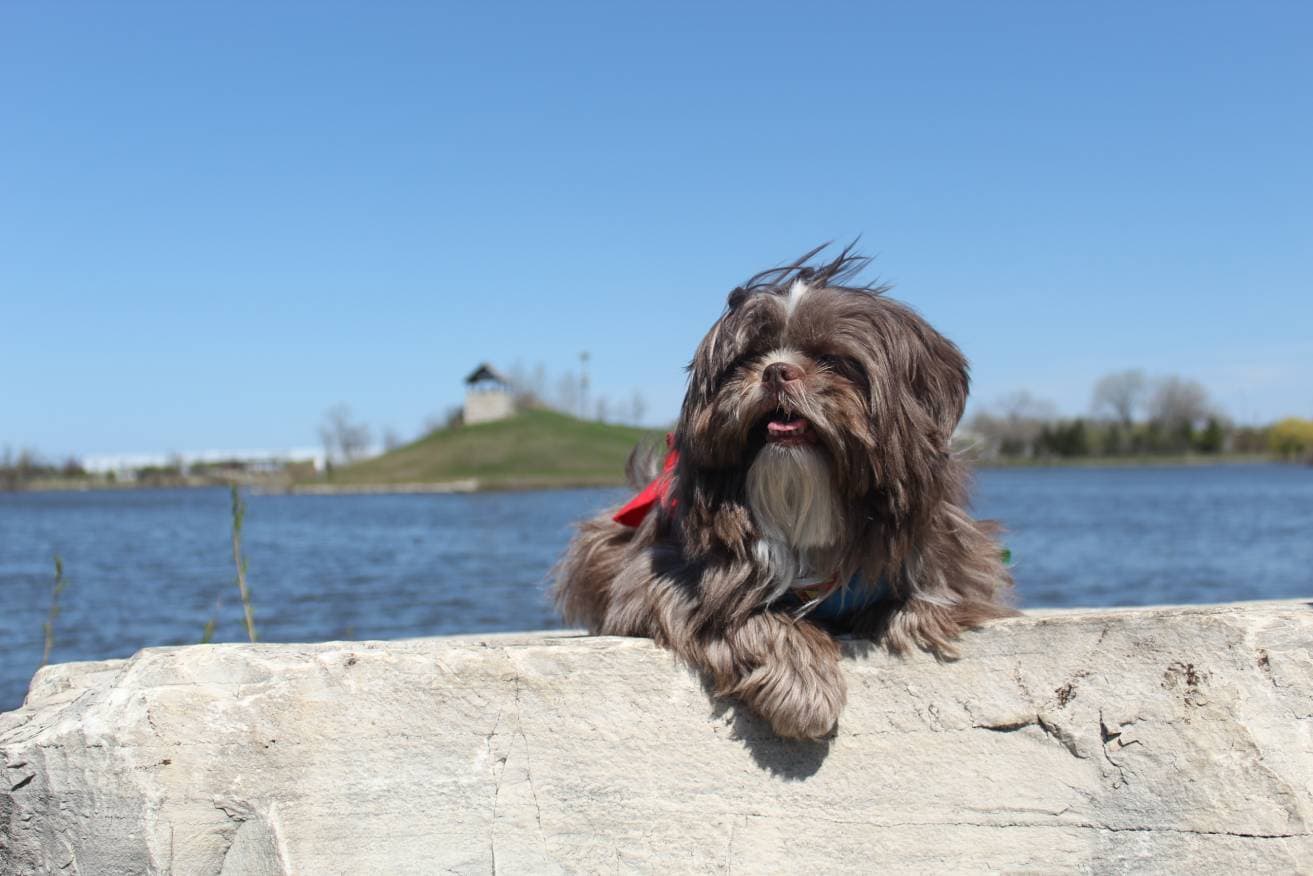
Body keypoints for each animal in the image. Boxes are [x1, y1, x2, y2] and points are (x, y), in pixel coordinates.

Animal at [551, 245, 1013, 740]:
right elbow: (738, 610)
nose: (775, 371)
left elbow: (938, 586)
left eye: (833, 359)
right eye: (748, 357)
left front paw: (918, 614)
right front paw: (805, 687)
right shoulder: (658, 578)